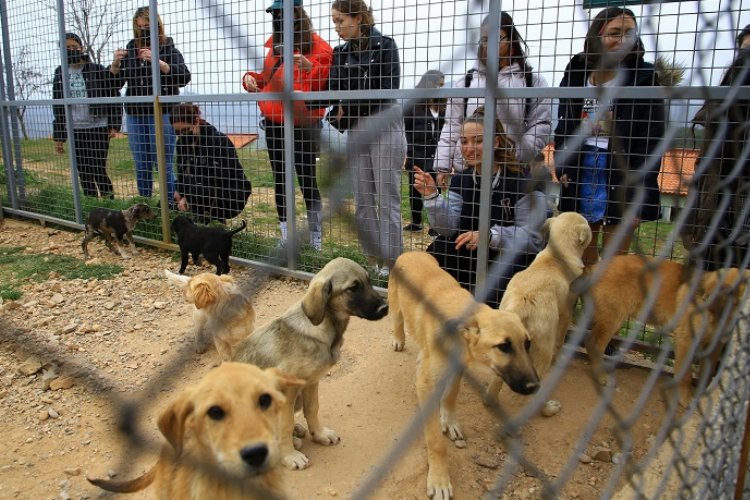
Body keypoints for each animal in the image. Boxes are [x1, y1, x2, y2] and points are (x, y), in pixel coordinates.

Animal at [234, 258, 388, 472]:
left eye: (369, 281)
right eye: (353, 288)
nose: (385, 308)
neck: (325, 328)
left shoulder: (311, 383)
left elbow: (313, 409)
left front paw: (319, 434)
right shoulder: (286, 393)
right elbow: (285, 424)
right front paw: (290, 456)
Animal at [388, 252, 540, 500]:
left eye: (527, 344)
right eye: (503, 347)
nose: (534, 386)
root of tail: (411, 252)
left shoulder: (457, 367)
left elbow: (451, 394)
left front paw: (449, 421)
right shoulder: (428, 384)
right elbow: (436, 442)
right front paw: (439, 480)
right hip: (395, 302)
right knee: (398, 320)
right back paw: (399, 339)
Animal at [588, 254, 750, 406]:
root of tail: (594, 266)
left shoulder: (713, 347)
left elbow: (706, 374)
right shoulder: (686, 341)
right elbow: (686, 376)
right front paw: (685, 399)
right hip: (613, 319)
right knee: (594, 345)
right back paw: (601, 376)